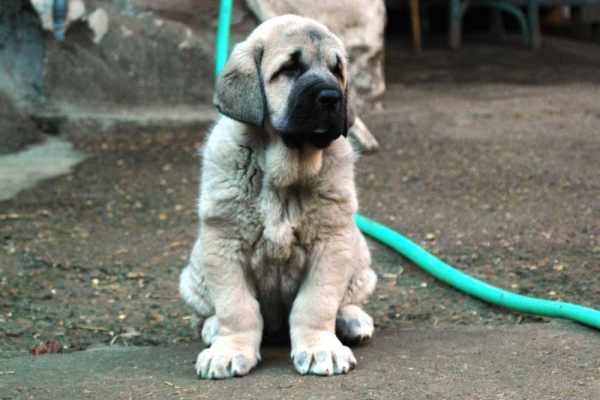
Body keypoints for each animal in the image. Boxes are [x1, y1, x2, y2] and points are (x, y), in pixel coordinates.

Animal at [178, 14, 376, 380]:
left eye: (337, 70)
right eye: (290, 68)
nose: (332, 97)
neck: (283, 174)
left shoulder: (331, 243)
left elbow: (316, 303)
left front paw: (320, 348)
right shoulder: (223, 243)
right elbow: (236, 307)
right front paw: (230, 350)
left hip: (359, 257)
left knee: (347, 300)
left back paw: (352, 320)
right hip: (195, 271)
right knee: (208, 311)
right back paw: (213, 329)